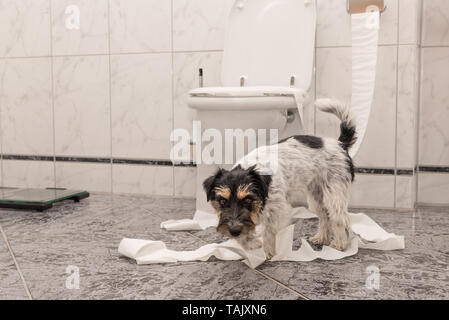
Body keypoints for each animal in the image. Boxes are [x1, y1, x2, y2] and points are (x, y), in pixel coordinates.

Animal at [201, 99, 356, 258]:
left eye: (248, 199)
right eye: (222, 201)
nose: (234, 231)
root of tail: (340, 145)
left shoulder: (278, 211)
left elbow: (268, 232)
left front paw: (268, 253)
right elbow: (248, 233)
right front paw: (250, 245)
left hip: (334, 194)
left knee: (340, 218)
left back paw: (340, 245)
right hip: (316, 196)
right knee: (325, 215)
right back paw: (322, 238)